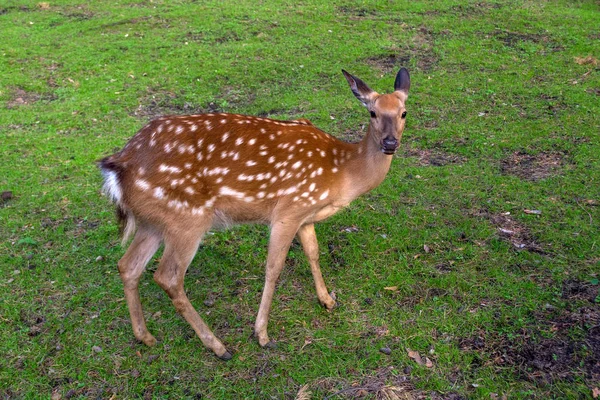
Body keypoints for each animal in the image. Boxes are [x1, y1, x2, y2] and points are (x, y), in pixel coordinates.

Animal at [99, 68, 408, 360]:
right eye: (372, 112)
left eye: (404, 112)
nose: (390, 143)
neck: (342, 173)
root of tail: (118, 166)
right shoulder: (288, 209)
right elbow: (273, 268)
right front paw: (262, 334)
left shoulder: (305, 213)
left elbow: (313, 252)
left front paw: (327, 300)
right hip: (187, 218)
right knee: (168, 277)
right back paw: (218, 346)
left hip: (153, 222)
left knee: (128, 265)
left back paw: (145, 337)